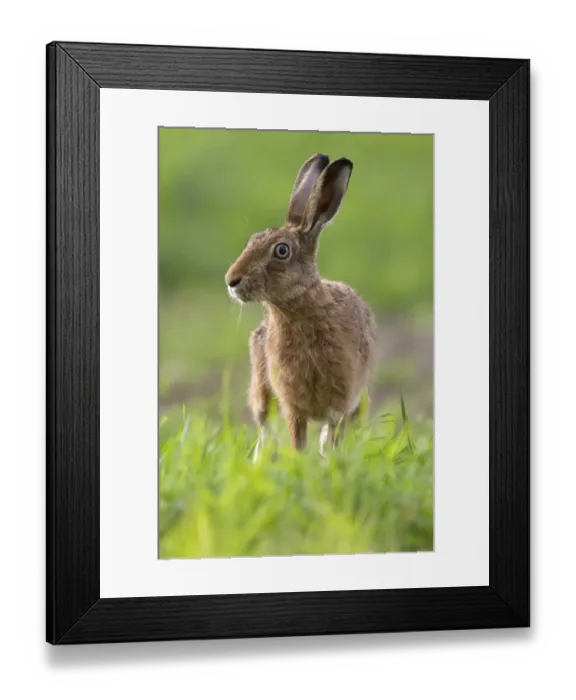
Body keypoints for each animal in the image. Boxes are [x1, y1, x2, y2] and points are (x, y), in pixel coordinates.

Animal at [225, 153, 377, 460]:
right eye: (251, 241)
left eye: (282, 251)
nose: (231, 280)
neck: (297, 309)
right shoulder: (292, 405)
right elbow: (297, 442)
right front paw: (299, 465)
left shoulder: (340, 402)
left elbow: (332, 438)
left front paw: (329, 463)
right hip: (261, 390)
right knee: (264, 430)